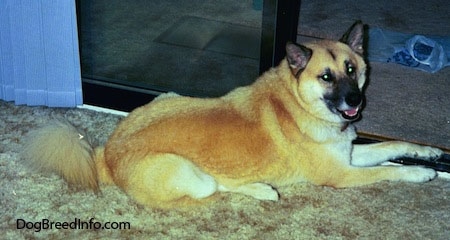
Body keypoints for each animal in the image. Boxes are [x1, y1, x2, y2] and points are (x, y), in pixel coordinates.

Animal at [22, 22, 442, 208]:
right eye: (327, 77)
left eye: (352, 69)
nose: (355, 101)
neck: (296, 103)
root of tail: (105, 154)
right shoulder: (341, 174)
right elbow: (388, 170)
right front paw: (419, 173)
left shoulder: (350, 153)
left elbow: (391, 146)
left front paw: (428, 153)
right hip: (190, 175)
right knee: (219, 185)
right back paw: (262, 189)